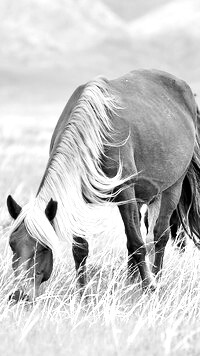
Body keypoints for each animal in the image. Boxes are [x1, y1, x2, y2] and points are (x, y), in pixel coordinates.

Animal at [7, 68, 200, 302]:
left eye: (44, 247)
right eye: (12, 244)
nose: (19, 294)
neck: (93, 136)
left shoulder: (125, 192)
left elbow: (137, 243)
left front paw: (149, 288)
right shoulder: (77, 199)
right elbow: (80, 248)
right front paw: (83, 294)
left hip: (172, 188)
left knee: (159, 236)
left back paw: (156, 279)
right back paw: (131, 281)